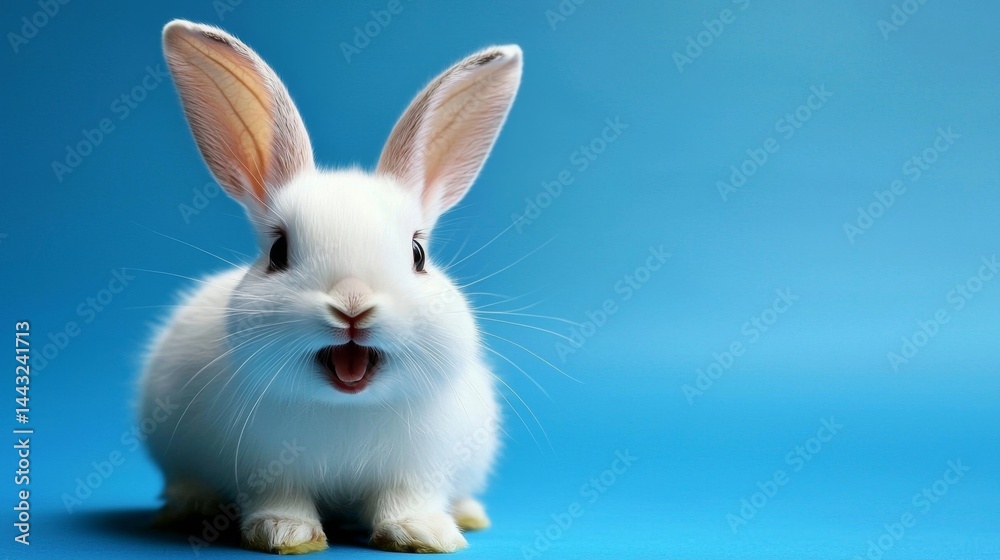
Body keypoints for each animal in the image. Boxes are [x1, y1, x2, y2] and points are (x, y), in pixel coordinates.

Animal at [140, 19, 521, 554]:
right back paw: (192, 508)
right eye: (278, 252)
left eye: (417, 255)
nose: (352, 305)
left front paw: (422, 533)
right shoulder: (267, 466)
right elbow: (282, 499)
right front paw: (285, 534)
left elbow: (409, 498)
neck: (347, 407)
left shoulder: (418, 467)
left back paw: (468, 514)